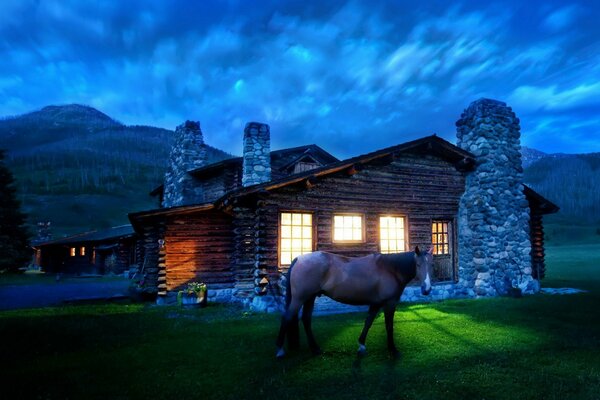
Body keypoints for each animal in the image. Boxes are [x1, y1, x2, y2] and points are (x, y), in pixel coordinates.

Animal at [274, 245, 434, 358]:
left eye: (430, 265)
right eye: (418, 264)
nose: (426, 289)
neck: (390, 269)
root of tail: (298, 259)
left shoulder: (376, 303)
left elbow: (368, 322)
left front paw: (361, 345)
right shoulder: (389, 303)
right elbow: (389, 326)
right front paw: (393, 350)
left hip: (310, 298)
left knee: (306, 319)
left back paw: (315, 348)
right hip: (299, 298)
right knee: (287, 318)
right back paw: (280, 350)